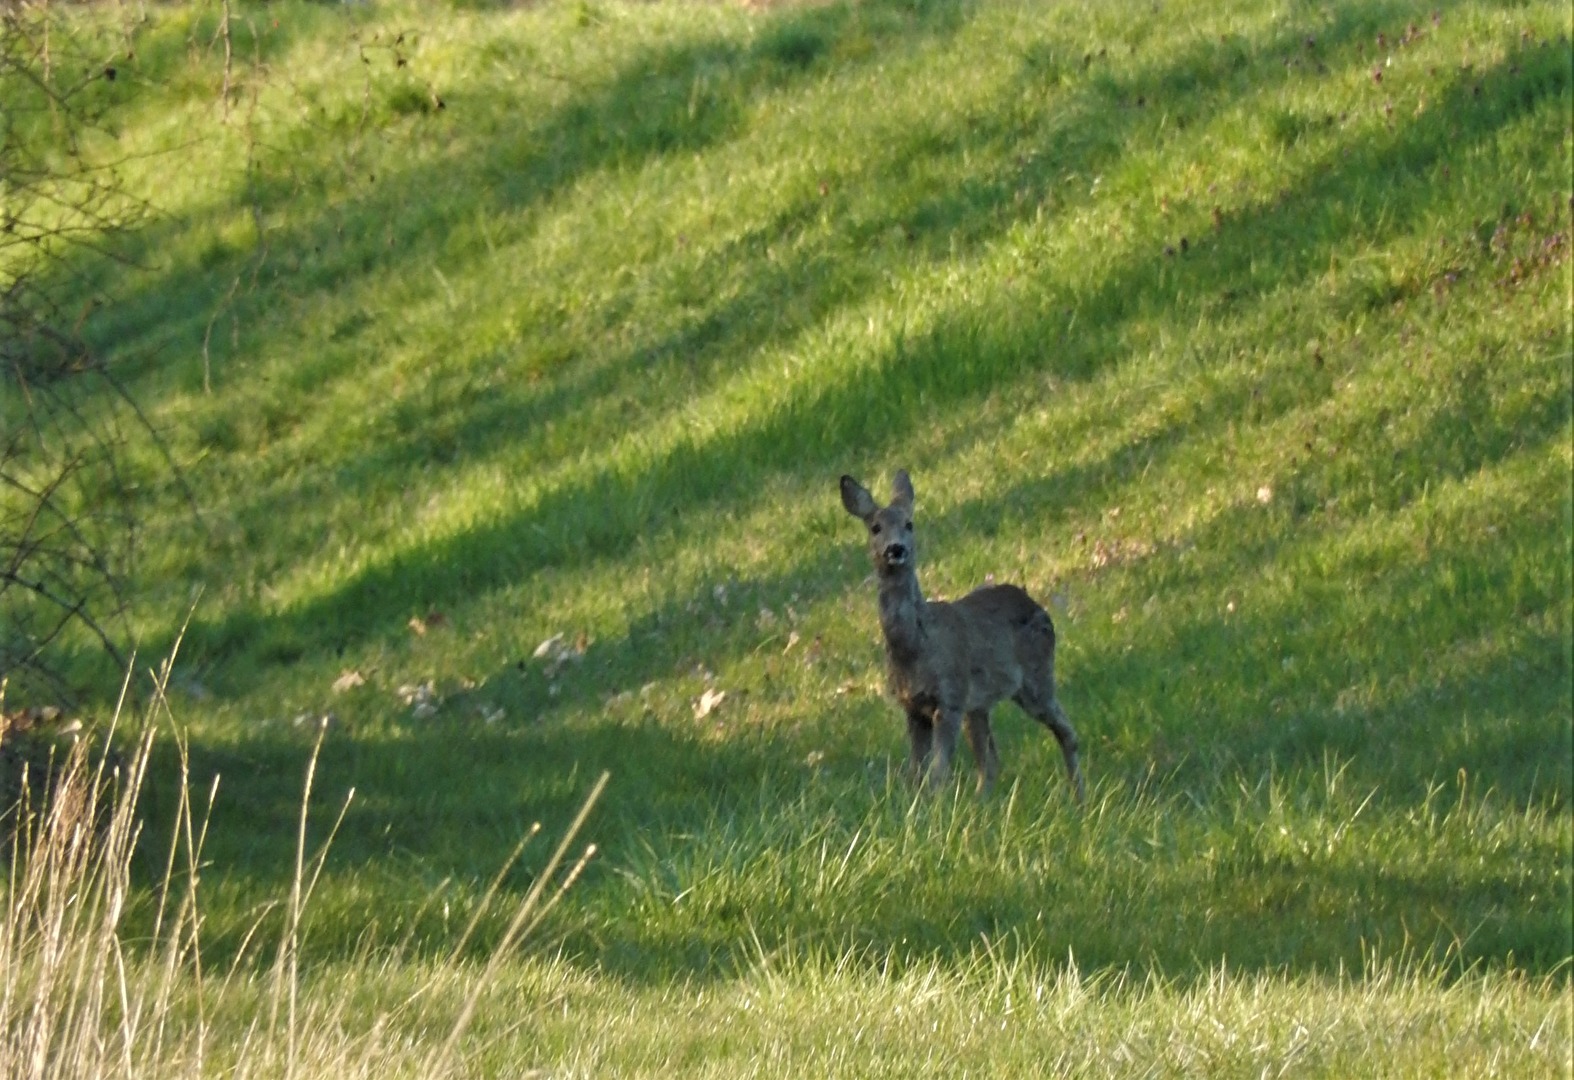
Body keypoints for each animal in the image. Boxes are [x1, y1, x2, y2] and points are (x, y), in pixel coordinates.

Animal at [843, 472, 1089, 802]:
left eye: (909, 524)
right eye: (875, 527)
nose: (896, 549)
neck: (915, 647)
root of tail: (1035, 603)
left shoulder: (951, 697)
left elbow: (938, 774)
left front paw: (935, 806)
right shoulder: (912, 707)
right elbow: (915, 773)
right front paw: (915, 805)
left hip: (1036, 680)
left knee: (1066, 732)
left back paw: (1079, 797)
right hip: (980, 705)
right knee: (991, 761)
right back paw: (983, 802)